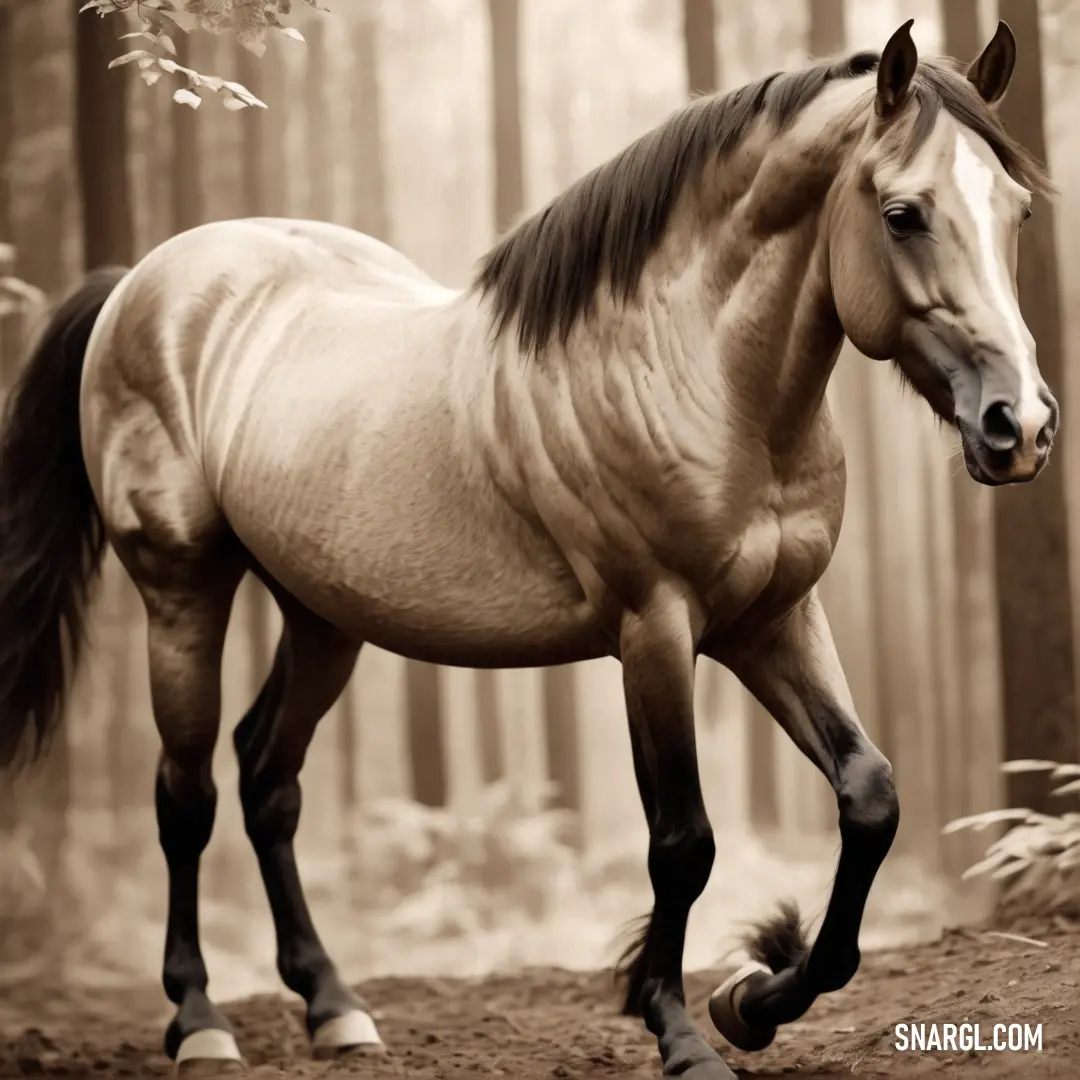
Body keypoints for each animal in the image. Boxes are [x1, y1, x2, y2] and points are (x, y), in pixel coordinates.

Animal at [0, 16, 1054, 1080]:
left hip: (323, 616)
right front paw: (679, 1030)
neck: (694, 372)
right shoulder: (654, 631)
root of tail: (139, 282)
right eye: (904, 214)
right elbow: (682, 841)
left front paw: (755, 996)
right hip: (182, 595)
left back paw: (335, 1006)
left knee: (267, 778)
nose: (1021, 426)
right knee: (188, 796)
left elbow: (869, 795)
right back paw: (201, 1019)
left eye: (1015, 210)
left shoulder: (774, 622)